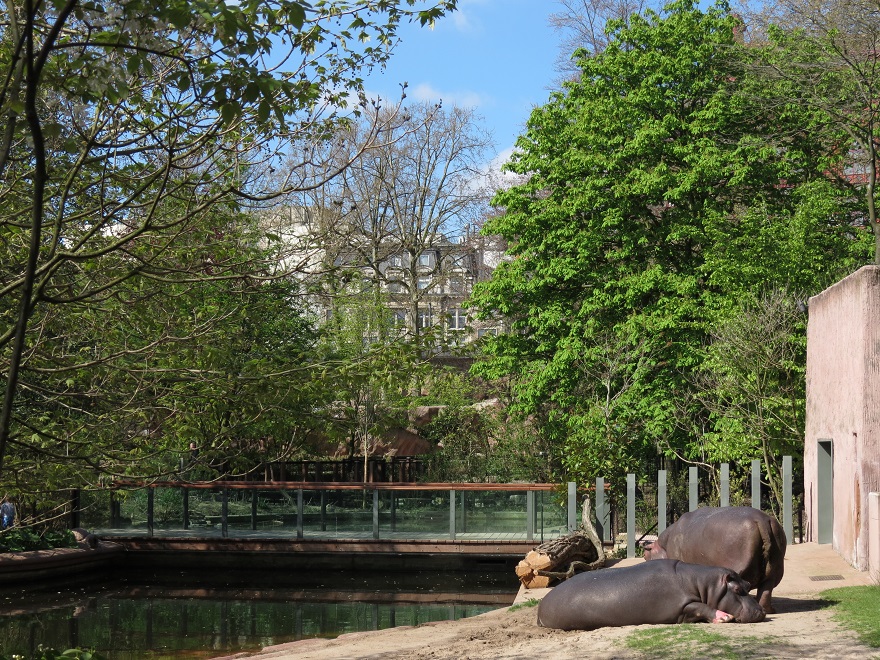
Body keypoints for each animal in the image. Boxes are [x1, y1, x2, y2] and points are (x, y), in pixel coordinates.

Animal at [537, 559, 765, 630]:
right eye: (737, 590)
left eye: (747, 584)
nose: (762, 612)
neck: (702, 583)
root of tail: (541, 605)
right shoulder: (681, 606)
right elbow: (701, 606)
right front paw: (724, 617)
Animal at [643, 506, 786, 613]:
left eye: (645, 555)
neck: (663, 546)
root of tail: (761, 520)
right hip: (774, 570)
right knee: (766, 590)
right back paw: (769, 610)